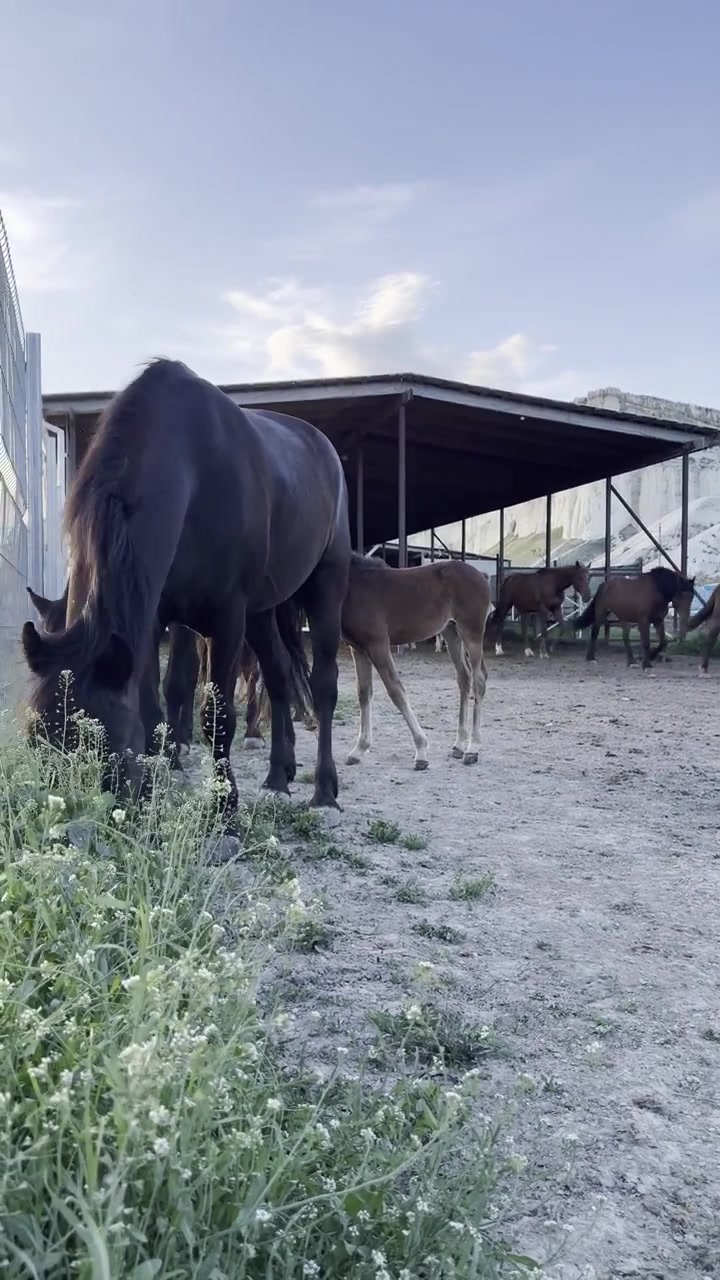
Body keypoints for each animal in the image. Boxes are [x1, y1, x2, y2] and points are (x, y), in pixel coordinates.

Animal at [21, 358, 350, 808]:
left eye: (101, 743)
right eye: (37, 740)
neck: (194, 472)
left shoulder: (226, 619)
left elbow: (217, 715)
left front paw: (224, 807)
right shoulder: (154, 617)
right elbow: (153, 707)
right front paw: (153, 791)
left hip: (325, 585)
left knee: (323, 685)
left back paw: (324, 789)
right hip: (262, 611)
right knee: (279, 675)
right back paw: (278, 774)